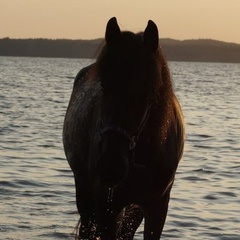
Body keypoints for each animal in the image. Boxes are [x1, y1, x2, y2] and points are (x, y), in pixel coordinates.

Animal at [62, 17, 185, 240]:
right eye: (103, 85)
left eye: (146, 91)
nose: (110, 167)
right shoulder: (107, 207)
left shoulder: (156, 207)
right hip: (84, 192)